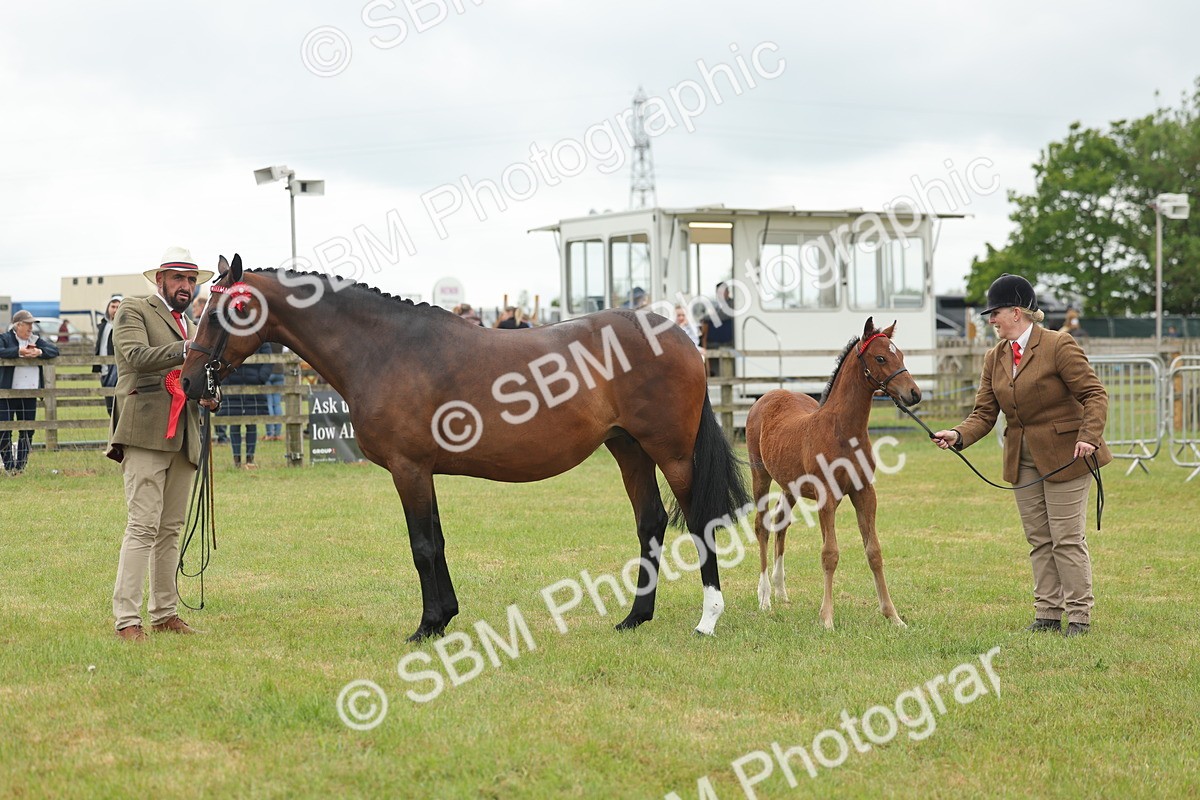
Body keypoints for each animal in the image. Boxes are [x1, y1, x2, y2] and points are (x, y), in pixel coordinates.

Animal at [180, 255, 749, 642]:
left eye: (224, 311)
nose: (188, 380)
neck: (384, 349)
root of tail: (679, 335)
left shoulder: (408, 469)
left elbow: (422, 546)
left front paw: (427, 625)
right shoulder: (422, 471)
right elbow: (436, 541)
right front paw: (443, 618)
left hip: (670, 453)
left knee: (700, 521)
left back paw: (708, 619)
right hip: (628, 449)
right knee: (650, 522)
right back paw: (634, 618)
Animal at [744, 317, 920, 630]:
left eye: (900, 355)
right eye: (880, 357)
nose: (914, 393)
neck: (843, 431)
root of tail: (769, 395)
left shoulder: (864, 492)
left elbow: (874, 552)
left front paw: (893, 615)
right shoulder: (827, 496)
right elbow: (830, 554)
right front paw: (827, 618)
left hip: (790, 485)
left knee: (780, 522)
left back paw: (780, 590)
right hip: (760, 475)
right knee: (762, 525)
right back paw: (764, 597)